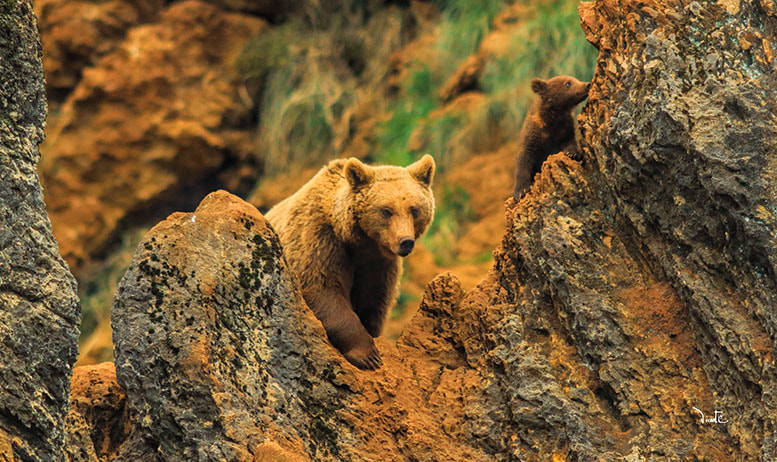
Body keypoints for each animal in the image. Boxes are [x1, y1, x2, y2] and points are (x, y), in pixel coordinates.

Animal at [265, 155, 436, 370]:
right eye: (386, 210)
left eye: (414, 209)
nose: (405, 241)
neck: (360, 242)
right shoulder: (319, 241)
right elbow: (323, 290)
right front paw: (368, 356)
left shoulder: (378, 265)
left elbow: (373, 302)